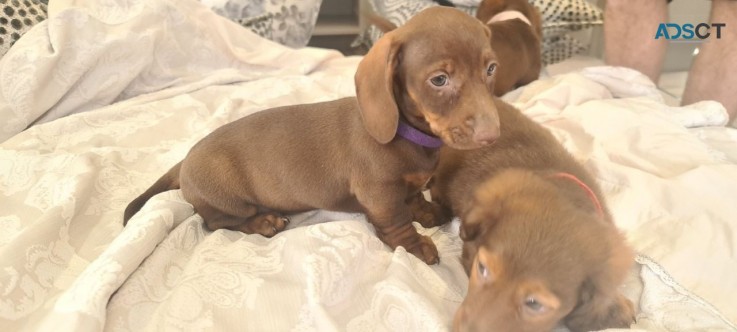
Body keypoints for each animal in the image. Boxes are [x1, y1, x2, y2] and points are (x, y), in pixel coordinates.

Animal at [125, 7, 500, 266]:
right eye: (439, 80)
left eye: (491, 68)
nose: (492, 134)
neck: (410, 136)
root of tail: (185, 160)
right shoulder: (380, 195)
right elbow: (397, 221)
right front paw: (416, 246)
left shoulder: (410, 184)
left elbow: (415, 199)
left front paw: (427, 211)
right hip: (228, 201)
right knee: (216, 222)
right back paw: (263, 222)